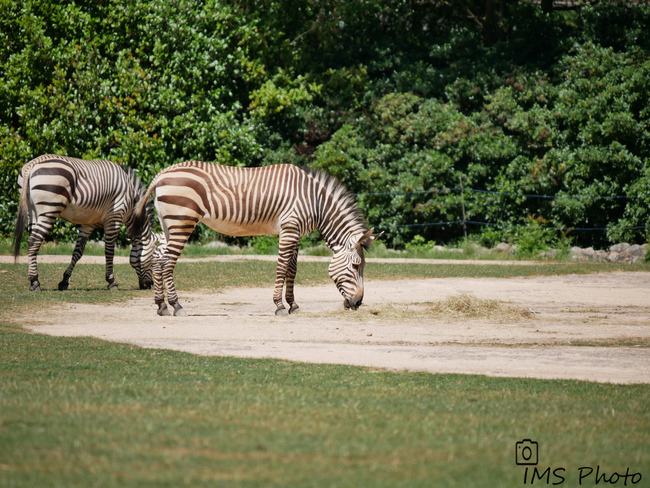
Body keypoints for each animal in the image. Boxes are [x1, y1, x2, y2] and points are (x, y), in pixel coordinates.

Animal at [13, 153, 155, 290]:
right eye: (153, 259)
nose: (150, 285)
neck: (132, 202)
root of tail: (33, 163)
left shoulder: (88, 224)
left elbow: (78, 252)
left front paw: (64, 281)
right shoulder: (114, 217)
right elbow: (109, 251)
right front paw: (112, 281)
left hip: (32, 211)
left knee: (32, 241)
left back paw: (34, 280)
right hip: (49, 209)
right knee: (33, 241)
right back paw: (34, 281)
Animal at [137, 162, 380, 318]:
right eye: (356, 266)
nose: (358, 303)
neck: (315, 202)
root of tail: (161, 174)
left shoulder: (295, 233)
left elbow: (292, 270)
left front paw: (293, 305)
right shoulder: (289, 229)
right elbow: (282, 268)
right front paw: (279, 306)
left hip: (169, 224)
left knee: (158, 261)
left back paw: (161, 306)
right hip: (182, 222)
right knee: (167, 263)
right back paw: (177, 306)